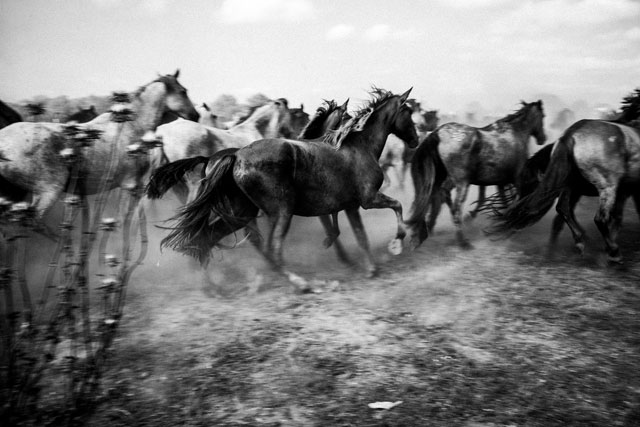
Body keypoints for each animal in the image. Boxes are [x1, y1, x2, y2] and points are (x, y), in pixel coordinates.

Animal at [151, 98, 292, 204]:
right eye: (290, 113)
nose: (292, 135)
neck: (255, 131)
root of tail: (162, 133)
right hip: (194, 185)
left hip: (177, 187)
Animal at [405, 100, 546, 249]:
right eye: (543, 116)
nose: (543, 138)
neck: (516, 134)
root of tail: (438, 133)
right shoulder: (517, 179)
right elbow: (514, 200)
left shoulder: (499, 181)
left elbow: (500, 199)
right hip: (461, 183)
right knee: (454, 206)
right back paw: (462, 241)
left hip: (442, 179)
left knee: (435, 198)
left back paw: (427, 230)